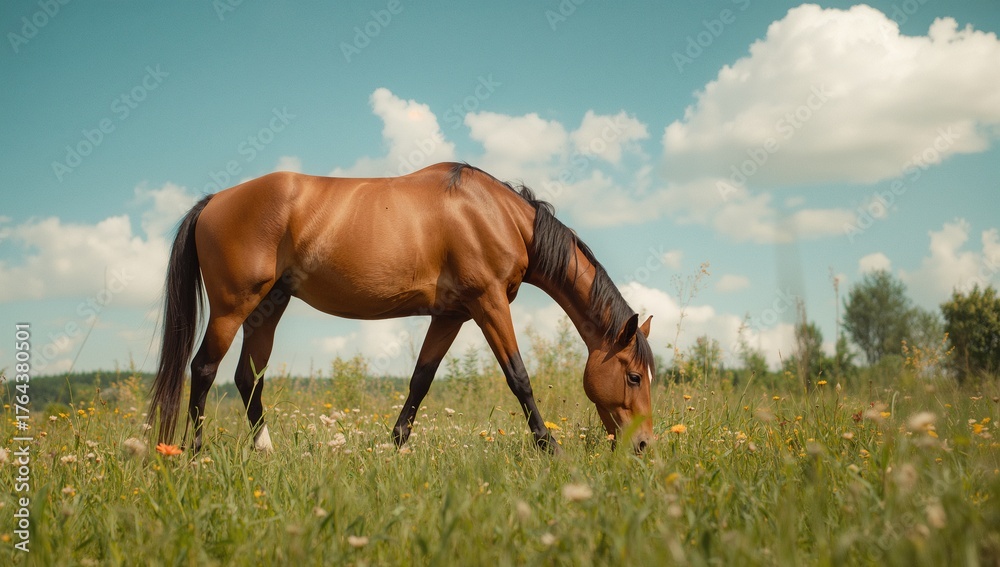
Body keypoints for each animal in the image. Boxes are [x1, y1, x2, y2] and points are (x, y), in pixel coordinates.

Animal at [147, 162, 655, 454]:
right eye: (633, 376)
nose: (644, 444)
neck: (498, 216)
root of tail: (214, 201)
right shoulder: (488, 302)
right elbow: (519, 377)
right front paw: (549, 447)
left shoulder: (452, 314)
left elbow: (421, 379)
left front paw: (396, 443)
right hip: (233, 307)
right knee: (204, 369)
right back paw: (195, 453)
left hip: (269, 307)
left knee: (246, 378)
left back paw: (266, 451)